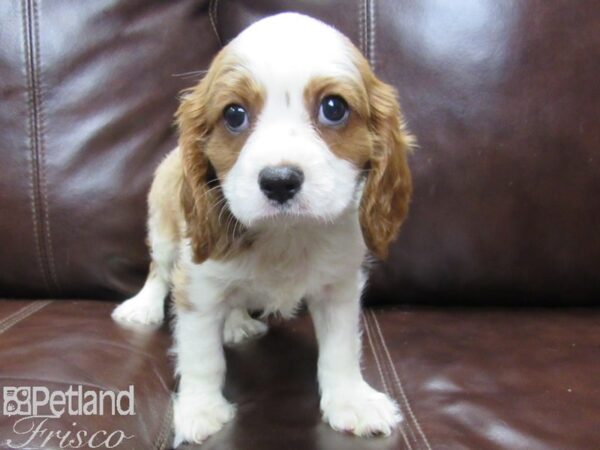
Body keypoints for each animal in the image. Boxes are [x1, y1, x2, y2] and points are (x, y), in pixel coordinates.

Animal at [112, 12, 412, 444]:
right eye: (234, 114)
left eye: (334, 108)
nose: (280, 181)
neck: (284, 234)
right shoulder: (198, 287)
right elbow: (201, 354)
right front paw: (201, 409)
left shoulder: (337, 287)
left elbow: (341, 348)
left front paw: (351, 400)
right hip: (164, 229)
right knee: (158, 270)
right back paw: (144, 307)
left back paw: (236, 322)